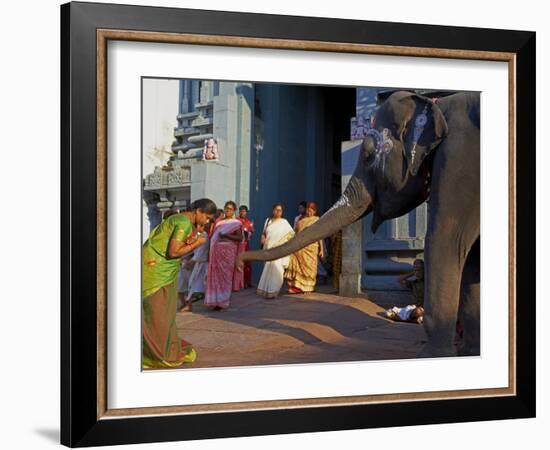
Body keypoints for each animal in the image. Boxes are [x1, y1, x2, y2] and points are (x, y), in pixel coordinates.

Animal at [238, 90, 484, 358]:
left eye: (367, 155)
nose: (239, 259)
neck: (439, 105)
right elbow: (472, 257)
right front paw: (471, 352)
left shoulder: (458, 162)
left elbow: (446, 241)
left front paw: (433, 356)